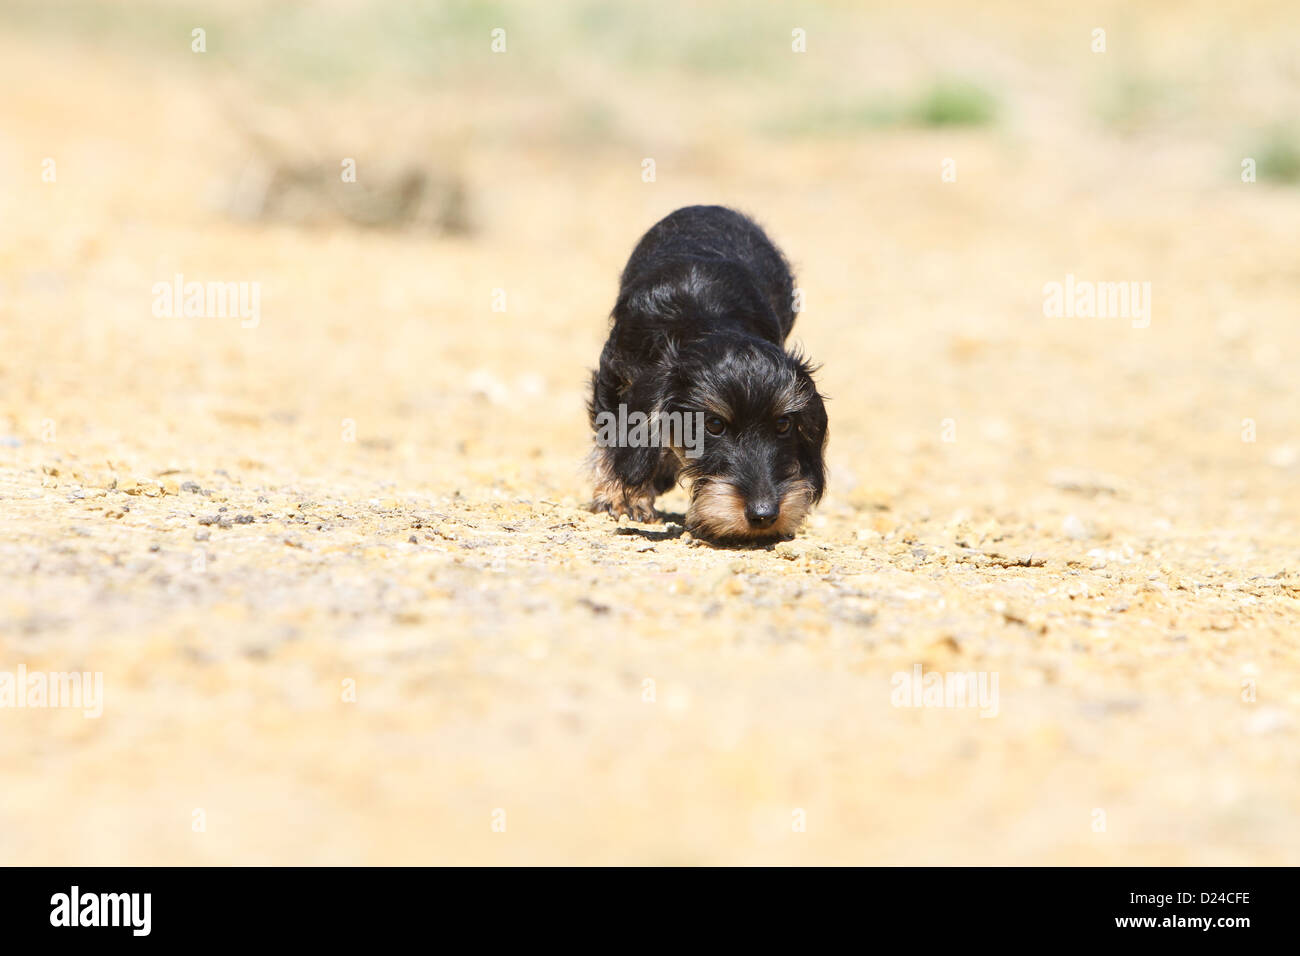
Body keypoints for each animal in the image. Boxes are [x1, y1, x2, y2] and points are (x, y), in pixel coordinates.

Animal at [592, 204, 832, 541]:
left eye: (784, 424)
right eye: (714, 425)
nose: (764, 515)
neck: (706, 317)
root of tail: (710, 208)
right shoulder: (617, 372)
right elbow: (616, 430)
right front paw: (623, 495)